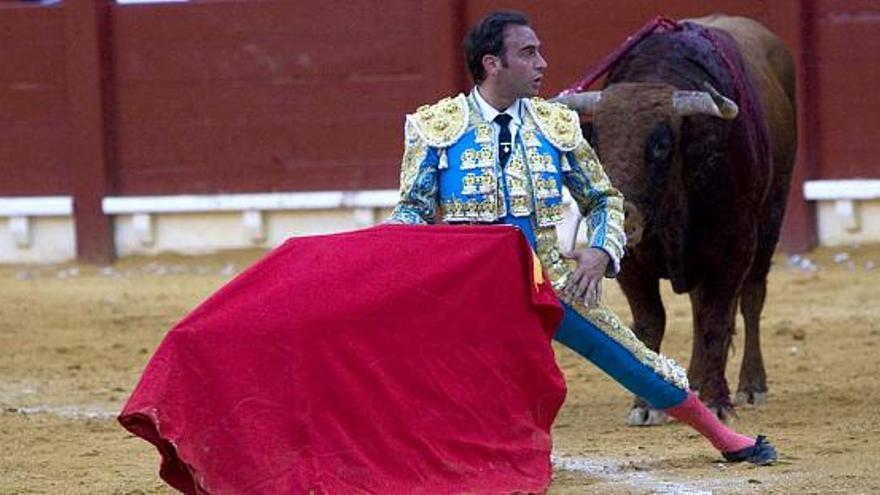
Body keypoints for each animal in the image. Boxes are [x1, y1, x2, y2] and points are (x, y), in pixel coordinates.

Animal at [556, 15, 796, 422]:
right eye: (597, 141)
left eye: (660, 145)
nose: (623, 218)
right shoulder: (631, 263)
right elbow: (651, 323)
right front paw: (646, 404)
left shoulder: (734, 248)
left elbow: (718, 320)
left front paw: (717, 402)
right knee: (700, 307)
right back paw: (695, 382)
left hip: (770, 223)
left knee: (751, 299)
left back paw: (751, 385)